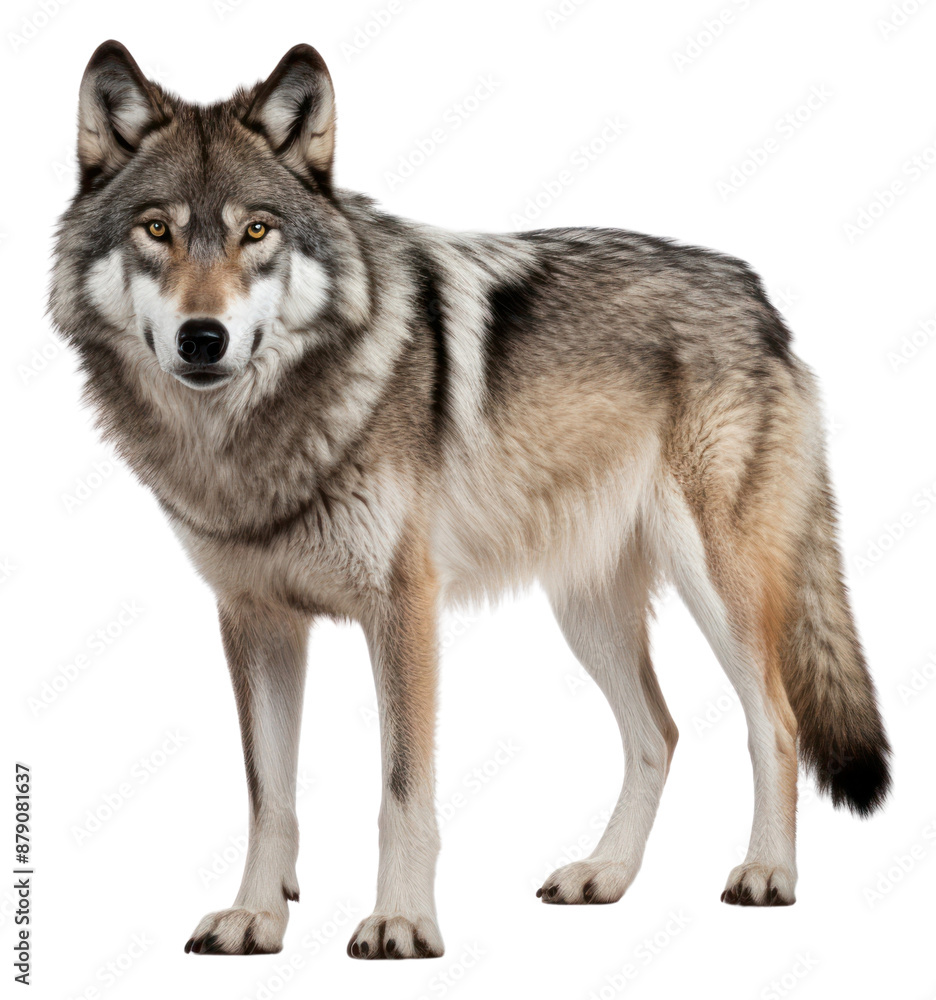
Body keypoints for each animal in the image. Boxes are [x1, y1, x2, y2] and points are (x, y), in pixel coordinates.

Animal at [50, 40, 891, 959]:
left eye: (256, 231)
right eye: (157, 230)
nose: (204, 338)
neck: (256, 439)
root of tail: (759, 297)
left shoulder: (404, 609)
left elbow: (401, 789)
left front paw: (400, 922)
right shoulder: (256, 620)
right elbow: (268, 795)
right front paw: (255, 917)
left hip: (717, 587)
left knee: (775, 721)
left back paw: (767, 873)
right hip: (586, 611)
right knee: (659, 733)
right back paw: (605, 874)